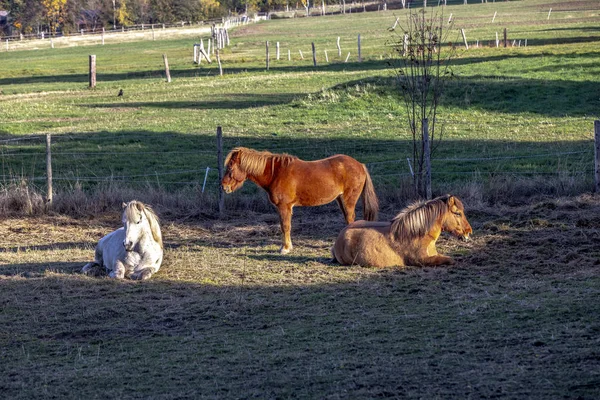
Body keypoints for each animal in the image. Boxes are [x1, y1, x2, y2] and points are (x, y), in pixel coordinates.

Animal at [223, 146, 378, 253]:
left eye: (230, 167)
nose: (224, 186)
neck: (276, 173)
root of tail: (360, 165)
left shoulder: (284, 206)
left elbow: (285, 226)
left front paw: (285, 248)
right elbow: (285, 226)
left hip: (348, 200)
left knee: (350, 219)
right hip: (340, 200)